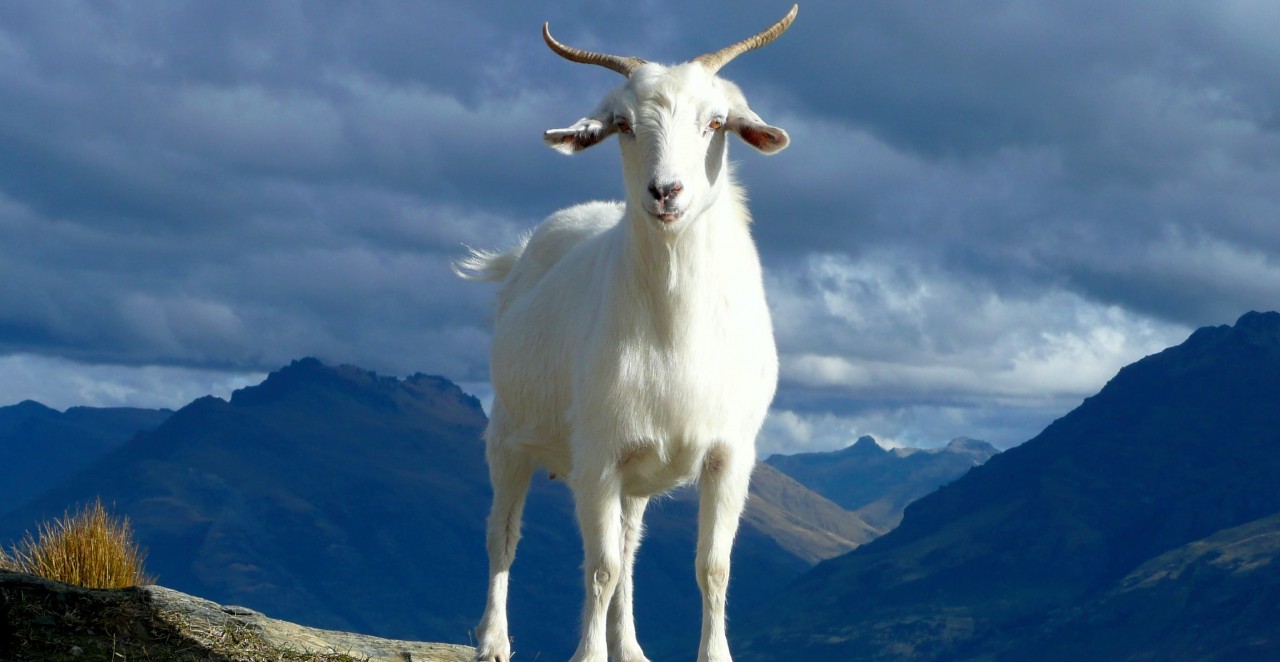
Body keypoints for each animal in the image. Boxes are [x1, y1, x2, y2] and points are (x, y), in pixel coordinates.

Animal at [456, 6, 796, 661]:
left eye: (716, 122)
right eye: (623, 125)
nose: (666, 192)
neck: (675, 331)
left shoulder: (729, 454)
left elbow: (711, 567)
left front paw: (712, 653)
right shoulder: (597, 455)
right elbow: (600, 567)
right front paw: (588, 655)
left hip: (637, 475)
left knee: (632, 549)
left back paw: (631, 647)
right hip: (508, 435)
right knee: (501, 535)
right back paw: (493, 640)